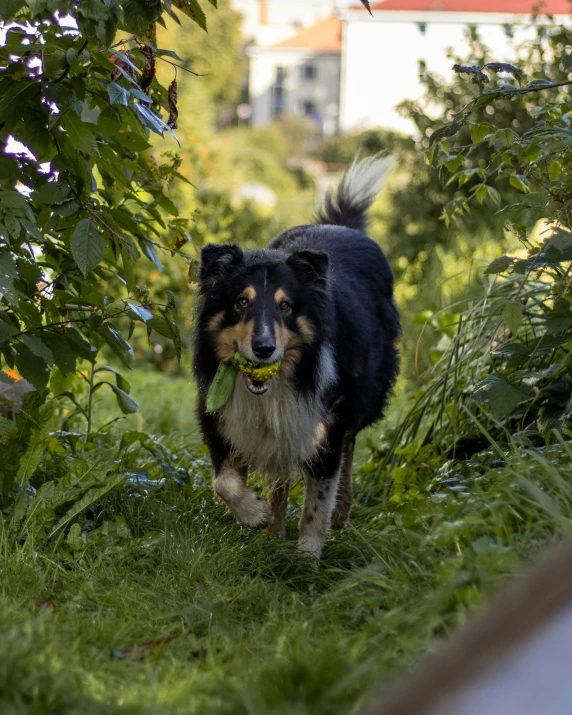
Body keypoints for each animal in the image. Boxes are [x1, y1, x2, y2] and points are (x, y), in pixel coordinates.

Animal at [192, 155, 398, 560]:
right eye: (241, 302)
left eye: (285, 306)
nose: (264, 348)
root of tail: (344, 225)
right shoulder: (217, 413)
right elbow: (224, 481)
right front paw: (255, 515)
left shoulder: (322, 424)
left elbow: (317, 503)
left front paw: (307, 558)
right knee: (280, 477)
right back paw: (273, 530)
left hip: (362, 394)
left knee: (350, 445)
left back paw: (341, 510)